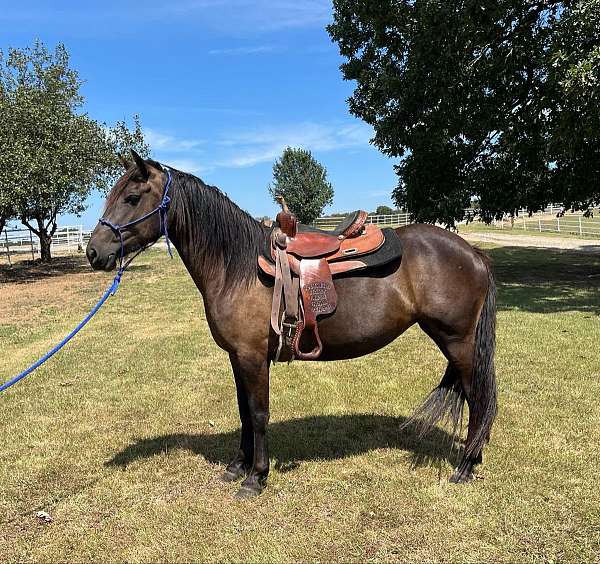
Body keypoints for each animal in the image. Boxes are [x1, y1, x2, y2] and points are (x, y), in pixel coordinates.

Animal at [85, 153, 496, 498]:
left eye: (132, 197)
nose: (94, 252)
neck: (235, 267)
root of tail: (472, 252)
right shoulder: (238, 356)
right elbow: (243, 410)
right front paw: (237, 466)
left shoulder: (253, 357)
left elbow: (259, 412)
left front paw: (256, 477)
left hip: (457, 341)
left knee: (477, 397)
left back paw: (465, 467)